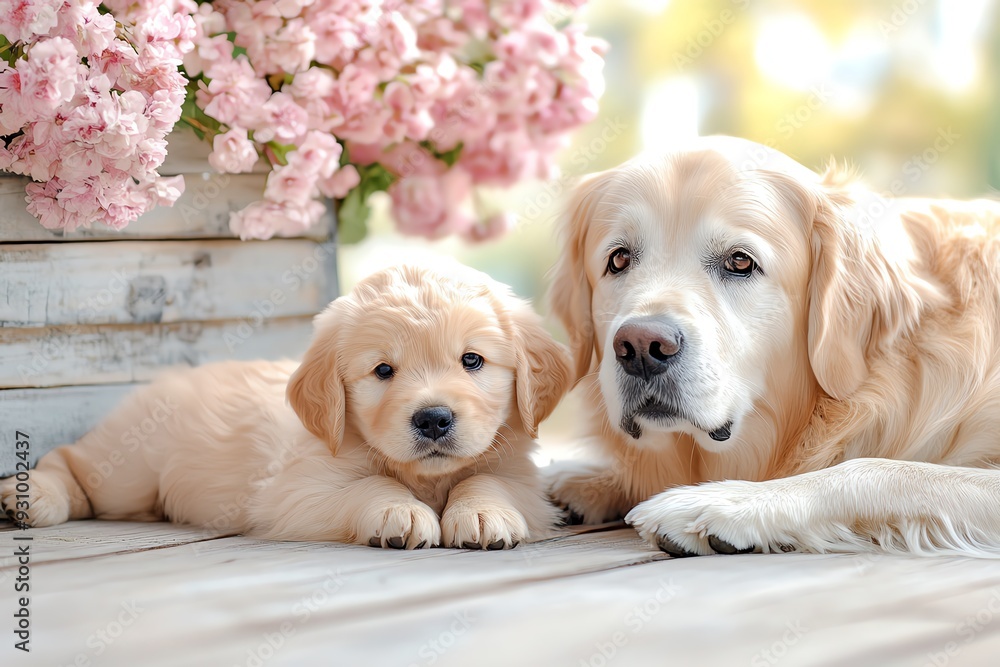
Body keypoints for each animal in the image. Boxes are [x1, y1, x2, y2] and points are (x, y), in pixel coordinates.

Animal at [0, 264, 572, 552]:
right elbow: (368, 485)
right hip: (130, 466)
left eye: (472, 360)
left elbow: (489, 479)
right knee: (72, 461)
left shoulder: (521, 476)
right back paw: (30, 497)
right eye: (383, 371)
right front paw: (401, 511)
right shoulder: (296, 491)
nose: (433, 419)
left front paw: (481, 512)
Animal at [548, 136, 1000, 560]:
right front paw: (589, 481)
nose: (640, 346)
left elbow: (883, 470)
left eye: (740, 262)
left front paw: (725, 501)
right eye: (619, 260)